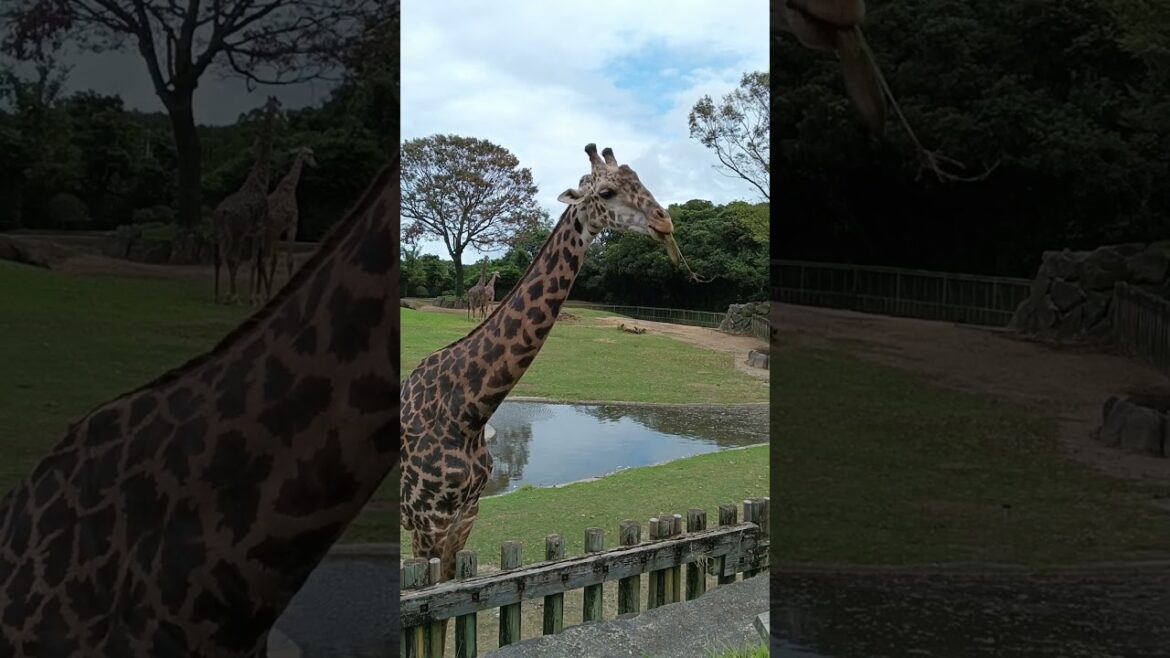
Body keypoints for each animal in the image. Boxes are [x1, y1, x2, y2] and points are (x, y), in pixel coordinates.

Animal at [213, 96, 281, 306]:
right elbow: (253, 261)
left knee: (221, 258)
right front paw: (252, 297)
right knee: (231, 258)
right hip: (234, 232)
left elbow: (249, 261)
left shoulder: (248, 234)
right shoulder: (257, 229)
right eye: (275, 105)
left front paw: (237, 295)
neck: (260, 181)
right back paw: (235, 298)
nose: (280, 110)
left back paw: (219, 296)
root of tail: (222, 212)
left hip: (222, 233)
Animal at [255, 146, 318, 302]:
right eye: (309, 154)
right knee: (261, 260)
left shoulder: (284, 229)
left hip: (265, 235)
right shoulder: (288, 226)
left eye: (313, 154)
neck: (291, 188)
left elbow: (282, 261)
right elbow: (283, 261)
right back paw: (260, 296)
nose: (315, 165)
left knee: (259, 260)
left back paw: (259, 295)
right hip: (266, 234)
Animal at [400, 144, 677, 589]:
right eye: (606, 193)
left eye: (639, 179)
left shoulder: (465, 515)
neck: (469, 410)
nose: (663, 221)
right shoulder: (427, 521)